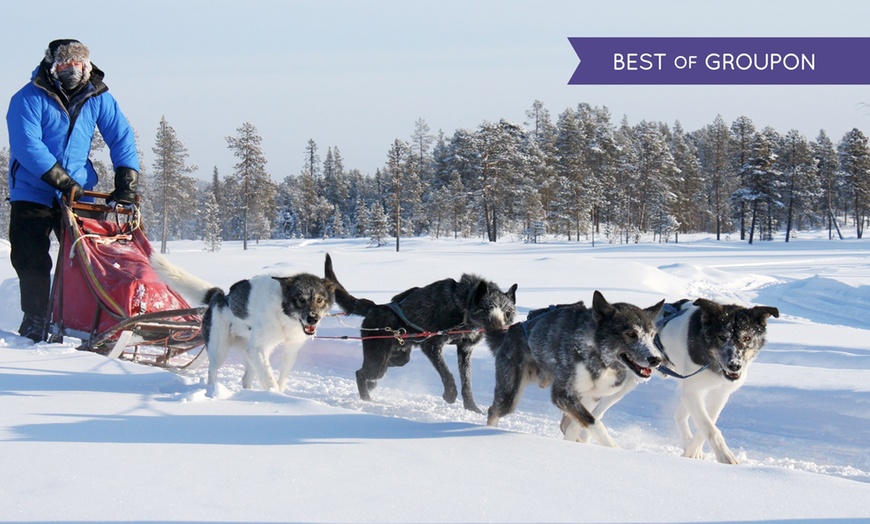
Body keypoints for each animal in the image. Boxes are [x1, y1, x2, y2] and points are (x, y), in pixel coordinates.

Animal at [152, 252, 336, 390]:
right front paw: (275, 395)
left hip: (249, 352)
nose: (313, 318)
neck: (283, 313)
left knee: (246, 378)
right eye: (301, 299)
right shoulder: (258, 348)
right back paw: (212, 392)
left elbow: (281, 378)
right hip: (220, 351)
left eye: (319, 300)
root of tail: (219, 297)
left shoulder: (290, 349)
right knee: (212, 373)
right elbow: (271, 381)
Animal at [326, 255, 516, 414]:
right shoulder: (432, 345)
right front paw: (450, 394)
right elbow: (447, 374)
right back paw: (366, 398)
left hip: (399, 357)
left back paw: (371, 386)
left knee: (381, 369)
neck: (462, 307)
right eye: (487, 310)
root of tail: (375, 307)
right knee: (361, 373)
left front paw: (471, 407)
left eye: (507, 313)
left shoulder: (465, 350)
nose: (501, 331)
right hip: (378, 362)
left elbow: (467, 383)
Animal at [488, 290, 664, 446]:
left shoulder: (591, 397)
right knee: (493, 411)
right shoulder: (562, 394)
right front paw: (613, 448)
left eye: (652, 335)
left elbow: (578, 425)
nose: (656, 359)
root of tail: (509, 331)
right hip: (510, 395)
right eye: (631, 333)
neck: (598, 355)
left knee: (565, 423)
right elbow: (594, 423)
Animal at [656, 296, 780, 464]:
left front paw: (692, 451)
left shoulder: (718, 393)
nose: (734, 365)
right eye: (722, 337)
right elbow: (710, 428)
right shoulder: (692, 391)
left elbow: (708, 423)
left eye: (746, 337)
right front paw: (725, 456)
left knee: (679, 415)